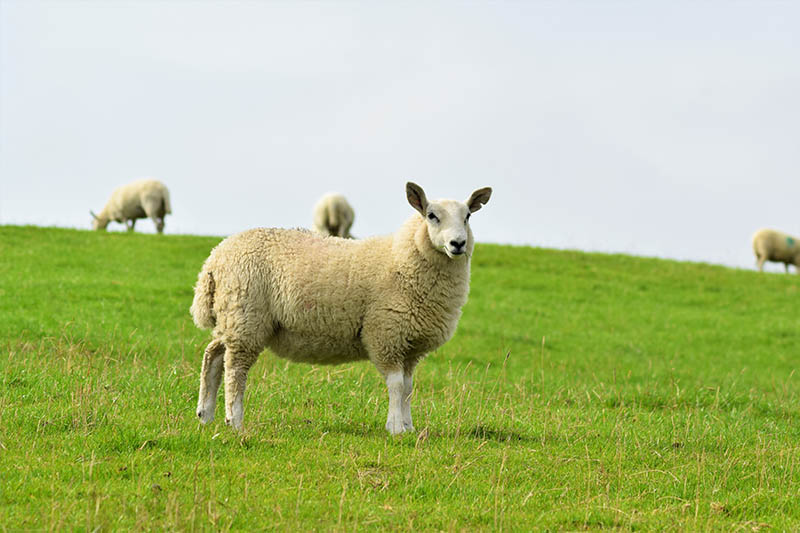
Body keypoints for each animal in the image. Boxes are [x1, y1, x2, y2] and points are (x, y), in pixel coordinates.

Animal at [192, 182, 494, 432]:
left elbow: (408, 388)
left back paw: (205, 414)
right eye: (432, 215)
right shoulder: (385, 334)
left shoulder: (410, 346)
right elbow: (396, 385)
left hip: (233, 317)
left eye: (467, 216)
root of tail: (214, 258)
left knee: (213, 355)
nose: (458, 243)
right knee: (235, 370)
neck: (402, 260)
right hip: (246, 317)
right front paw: (395, 428)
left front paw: (408, 427)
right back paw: (234, 420)